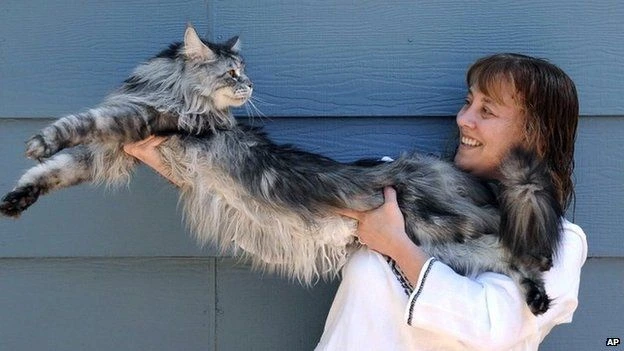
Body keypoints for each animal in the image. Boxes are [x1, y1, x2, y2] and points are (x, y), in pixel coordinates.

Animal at [0, 24, 564, 316]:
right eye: (233, 72)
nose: (249, 86)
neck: (169, 89)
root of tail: (445, 173)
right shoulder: (112, 150)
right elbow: (56, 171)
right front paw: (17, 197)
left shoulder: (142, 122)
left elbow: (81, 123)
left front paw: (37, 140)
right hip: (450, 250)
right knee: (512, 260)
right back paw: (538, 299)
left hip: (444, 230)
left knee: (521, 247)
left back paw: (540, 289)